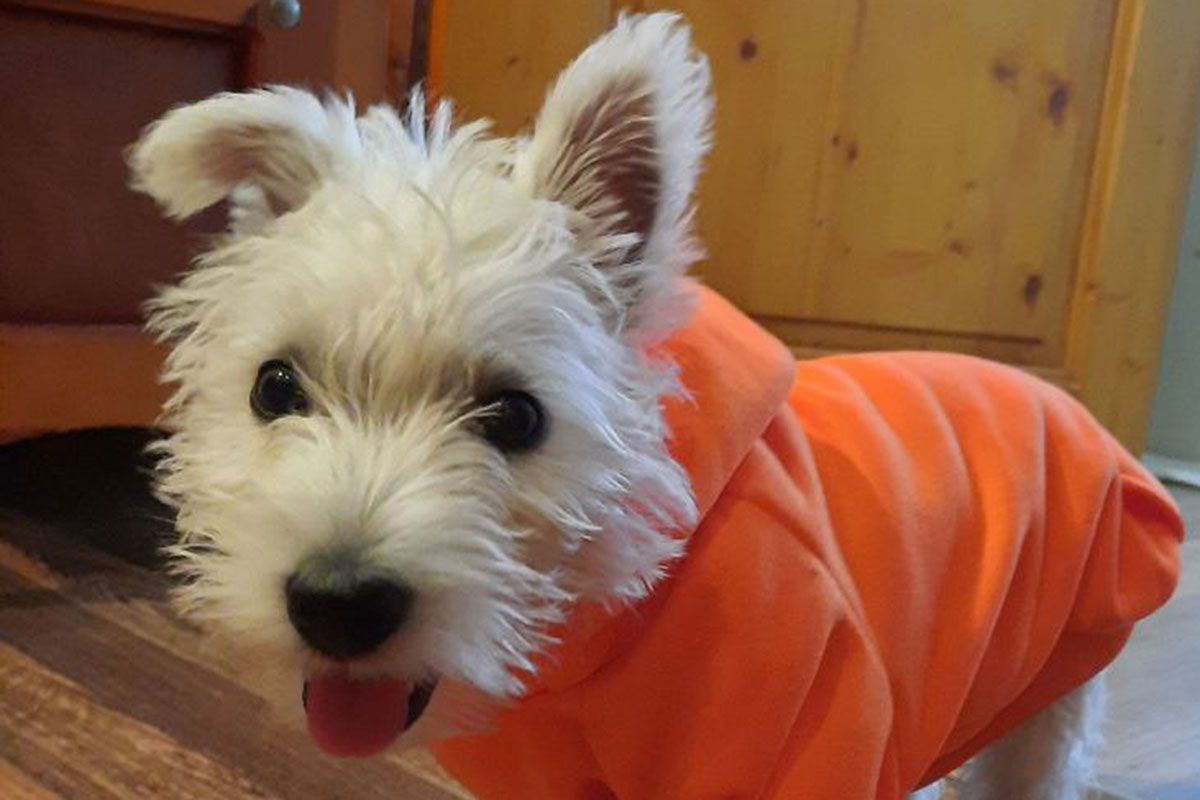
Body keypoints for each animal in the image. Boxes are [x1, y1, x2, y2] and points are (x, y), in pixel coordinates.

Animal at [128, 13, 1182, 800]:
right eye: (274, 386)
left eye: (517, 417)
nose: (337, 605)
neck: (627, 594)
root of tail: (1058, 394)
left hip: (1050, 703)